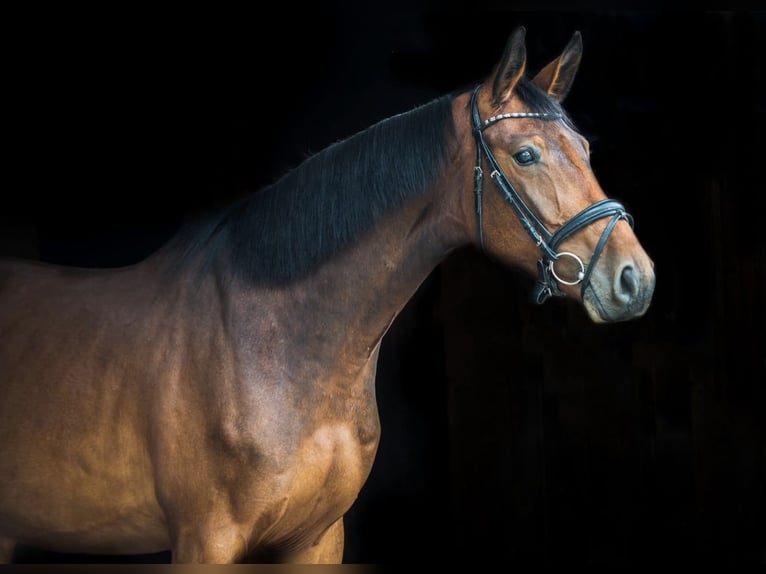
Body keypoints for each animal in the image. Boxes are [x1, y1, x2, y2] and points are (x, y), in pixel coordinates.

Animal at [0, 25, 660, 564]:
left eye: (587, 151)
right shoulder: (203, 541)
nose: (636, 278)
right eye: (526, 155)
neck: (278, 348)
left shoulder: (317, 539)